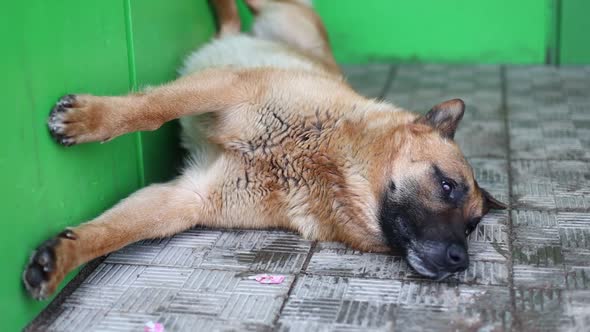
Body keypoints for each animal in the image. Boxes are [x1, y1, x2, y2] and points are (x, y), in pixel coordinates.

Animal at [22, 0, 504, 300]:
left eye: (473, 226)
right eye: (447, 185)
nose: (461, 261)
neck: (323, 160)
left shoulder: (185, 199)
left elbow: (112, 232)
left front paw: (61, 258)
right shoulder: (226, 87)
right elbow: (150, 110)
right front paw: (90, 119)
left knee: (228, 18)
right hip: (272, 7)